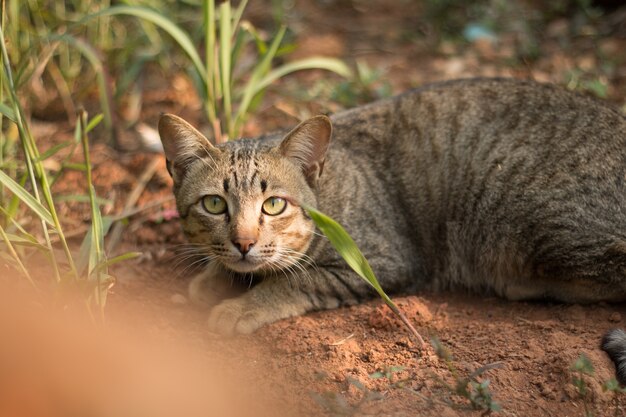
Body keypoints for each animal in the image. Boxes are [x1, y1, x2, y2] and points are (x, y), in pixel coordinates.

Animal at [157, 76, 624, 376]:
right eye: (214, 204)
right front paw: (215, 276)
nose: (243, 242)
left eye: (273, 205)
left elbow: (294, 280)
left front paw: (240, 305)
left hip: (530, 221)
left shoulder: (382, 262)